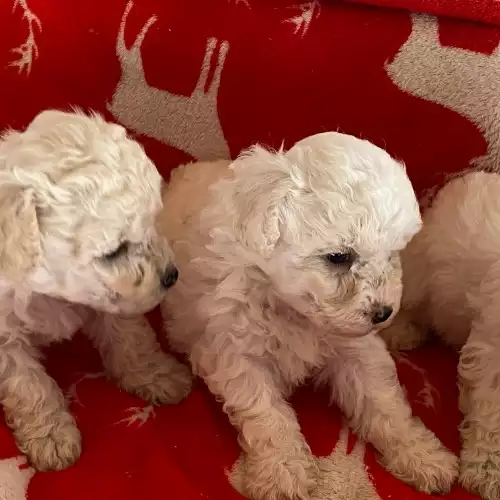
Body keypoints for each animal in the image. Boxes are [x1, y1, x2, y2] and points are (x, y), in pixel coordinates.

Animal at [0, 109, 191, 472]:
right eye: (113, 252)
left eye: (152, 223)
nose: (171, 275)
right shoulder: (4, 336)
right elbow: (28, 384)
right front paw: (51, 436)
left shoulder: (112, 300)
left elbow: (131, 339)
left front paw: (157, 374)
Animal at [160, 133, 458, 500]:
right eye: (338, 257)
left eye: (391, 254)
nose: (384, 313)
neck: (290, 307)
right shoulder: (234, 350)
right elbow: (266, 412)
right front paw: (282, 472)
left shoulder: (356, 347)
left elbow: (384, 401)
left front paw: (422, 455)